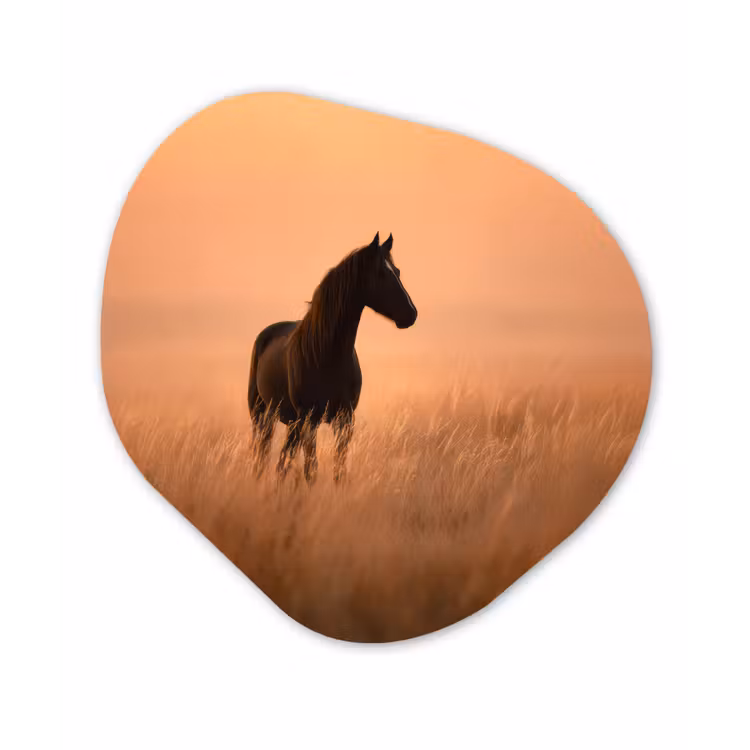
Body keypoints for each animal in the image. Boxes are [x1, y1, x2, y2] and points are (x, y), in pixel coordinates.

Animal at [247, 232, 418, 484]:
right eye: (381, 273)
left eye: (397, 271)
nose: (411, 314)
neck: (327, 355)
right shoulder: (309, 420)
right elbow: (311, 470)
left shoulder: (344, 420)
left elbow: (339, 470)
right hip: (263, 416)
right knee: (264, 457)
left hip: (291, 423)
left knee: (281, 461)